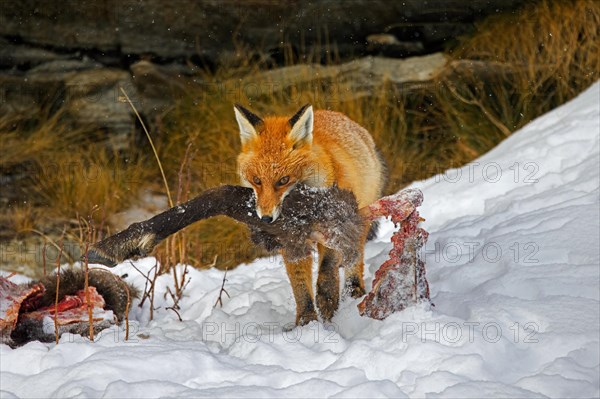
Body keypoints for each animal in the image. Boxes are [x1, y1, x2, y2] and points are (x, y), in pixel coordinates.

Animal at [232, 104, 386, 326]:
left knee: (354, 257)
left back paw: (353, 291)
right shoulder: (290, 239)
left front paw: (327, 299)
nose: (266, 219)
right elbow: (300, 286)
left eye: (283, 180)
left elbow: (327, 266)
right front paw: (306, 321)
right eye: (257, 180)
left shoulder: (334, 225)